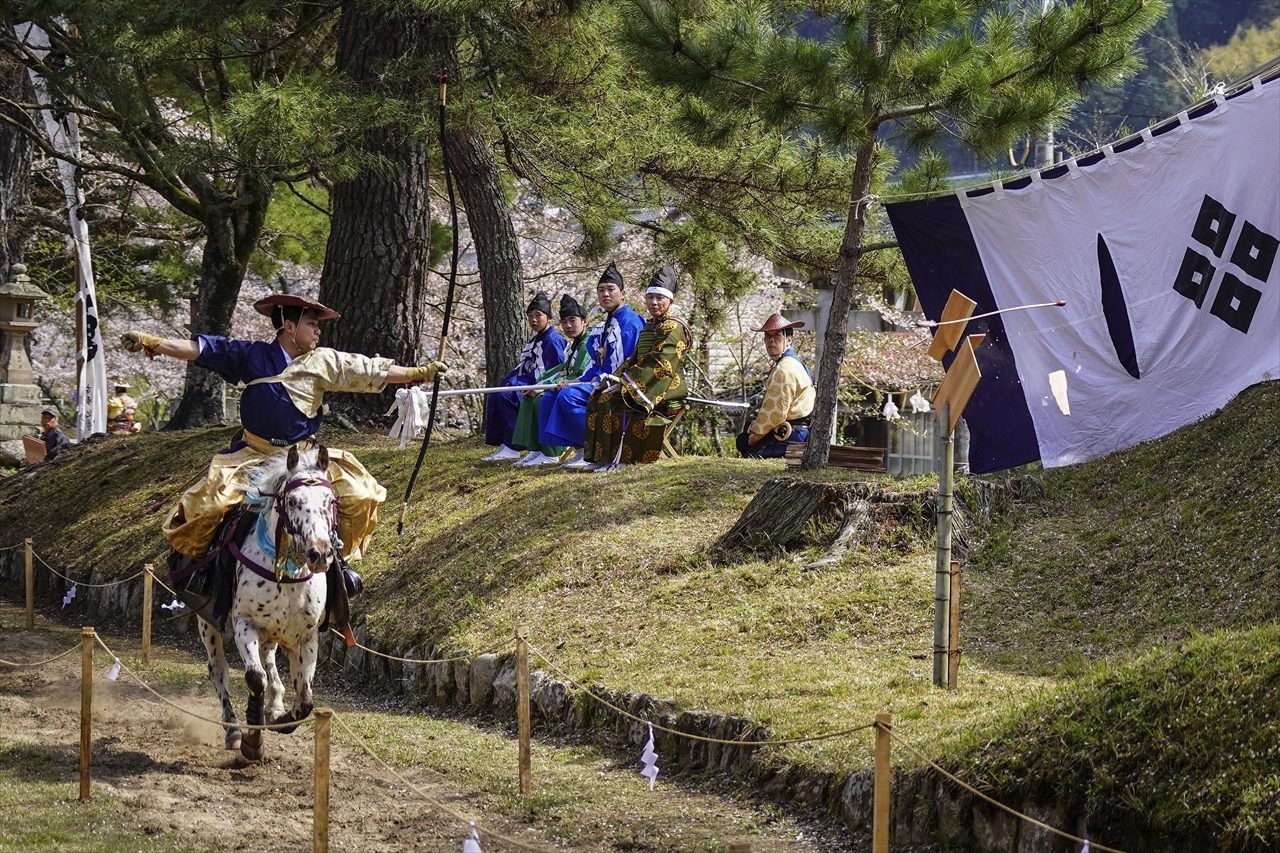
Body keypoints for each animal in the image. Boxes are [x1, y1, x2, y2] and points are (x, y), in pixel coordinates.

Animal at [198, 443, 337, 761]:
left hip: (274, 633)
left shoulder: (306, 638)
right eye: (293, 501)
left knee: (269, 657)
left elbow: (305, 701)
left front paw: (280, 717)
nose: (320, 554)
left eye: (330, 500)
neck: (287, 575)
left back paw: (274, 703)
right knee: (220, 670)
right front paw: (253, 737)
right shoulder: (244, 624)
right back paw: (233, 729)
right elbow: (254, 678)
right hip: (207, 623)